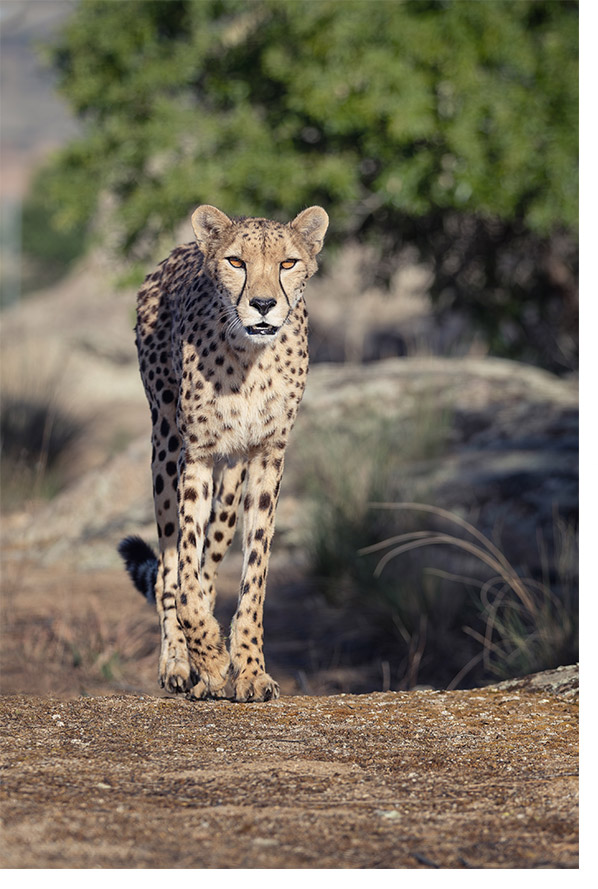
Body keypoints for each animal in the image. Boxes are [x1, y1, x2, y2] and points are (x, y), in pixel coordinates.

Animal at [119, 203, 329, 702]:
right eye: (236, 262)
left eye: (288, 263)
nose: (264, 304)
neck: (250, 356)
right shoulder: (194, 456)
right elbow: (183, 574)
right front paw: (211, 659)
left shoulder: (267, 455)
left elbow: (254, 575)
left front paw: (249, 670)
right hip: (164, 444)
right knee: (169, 569)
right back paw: (181, 664)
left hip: (231, 479)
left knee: (211, 563)